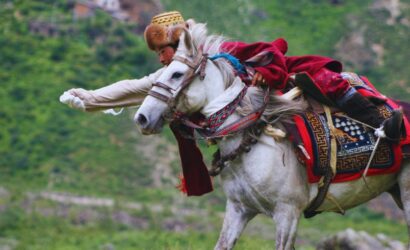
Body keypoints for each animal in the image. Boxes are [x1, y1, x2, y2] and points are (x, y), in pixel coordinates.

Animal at [134, 22, 410, 249]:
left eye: (177, 74)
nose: (142, 117)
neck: (251, 143)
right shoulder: (238, 209)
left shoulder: (287, 213)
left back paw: (390, 126)